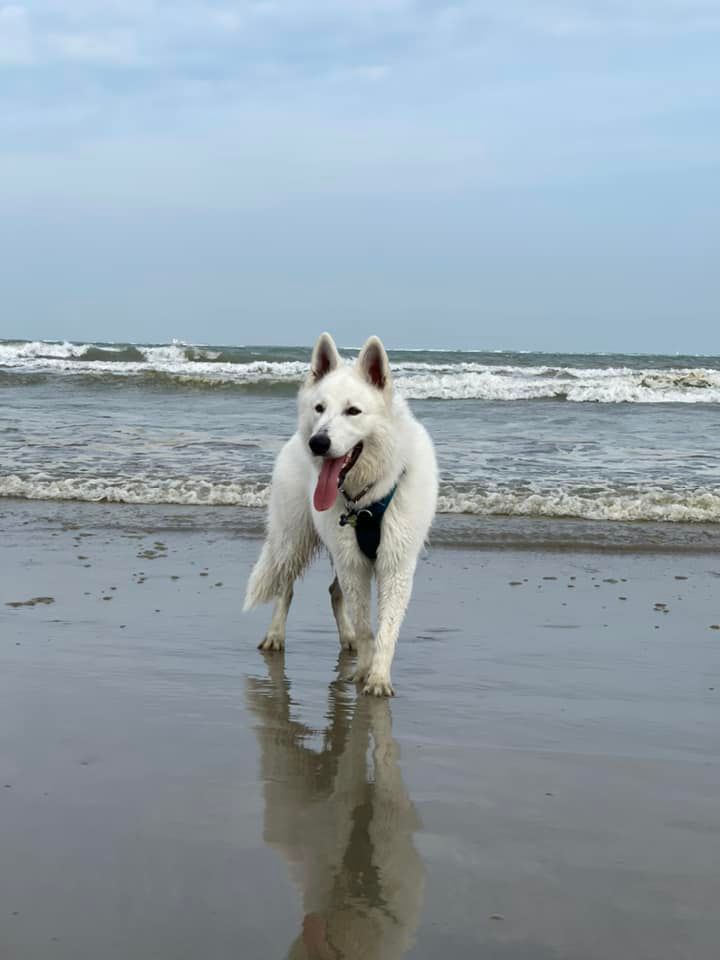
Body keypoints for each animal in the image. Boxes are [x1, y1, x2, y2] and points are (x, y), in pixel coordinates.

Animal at [245, 334, 438, 692]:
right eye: (320, 408)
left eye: (353, 411)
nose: (318, 443)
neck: (367, 496)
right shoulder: (354, 564)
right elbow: (365, 626)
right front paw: (363, 672)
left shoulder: (395, 566)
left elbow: (386, 628)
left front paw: (377, 677)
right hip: (293, 539)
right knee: (285, 587)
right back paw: (276, 635)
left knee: (334, 593)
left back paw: (346, 639)